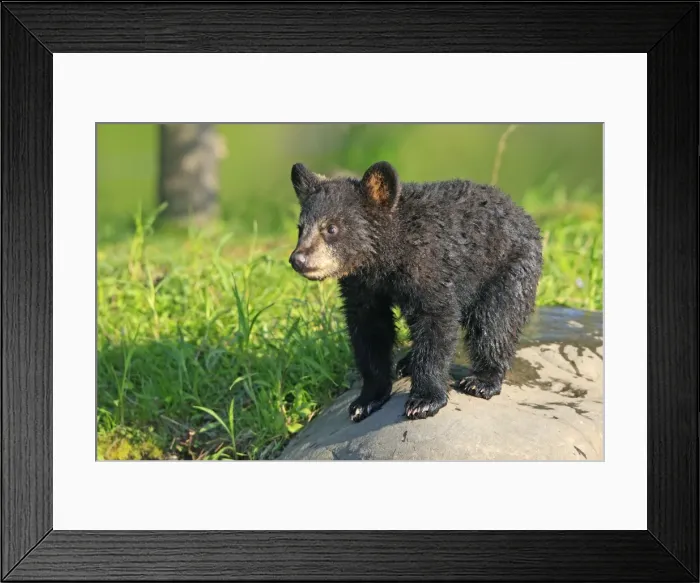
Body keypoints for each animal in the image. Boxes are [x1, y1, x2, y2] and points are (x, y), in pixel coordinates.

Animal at [288, 160, 543, 422]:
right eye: (300, 228)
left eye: (331, 228)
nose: (298, 259)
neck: (388, 258)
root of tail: (523, 214)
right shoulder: (363, 287)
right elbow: (369, 332)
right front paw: (366, 400)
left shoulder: (430, 268)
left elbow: (436, 321)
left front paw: (424, 400)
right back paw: (407, 362)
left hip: (508, 267)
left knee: (495, 321)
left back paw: (482, 380)